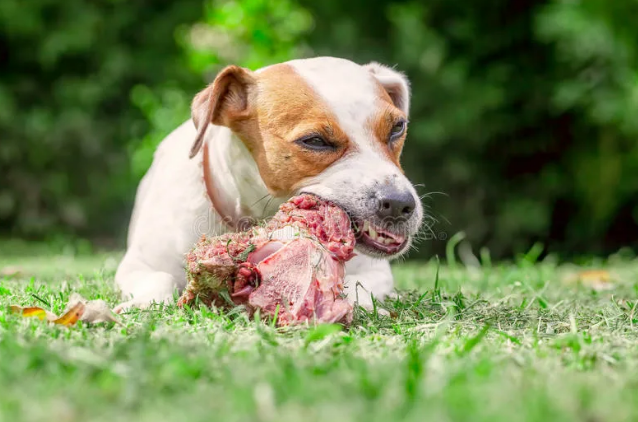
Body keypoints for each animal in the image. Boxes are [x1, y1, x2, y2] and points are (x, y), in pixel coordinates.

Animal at [114, 56, 424, 314]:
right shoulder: (139, 265)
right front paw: (143, 304)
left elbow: (359, 288)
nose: (399, 203)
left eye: (398, 127)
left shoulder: (376, 272)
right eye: (315, 141)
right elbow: (160, 279)